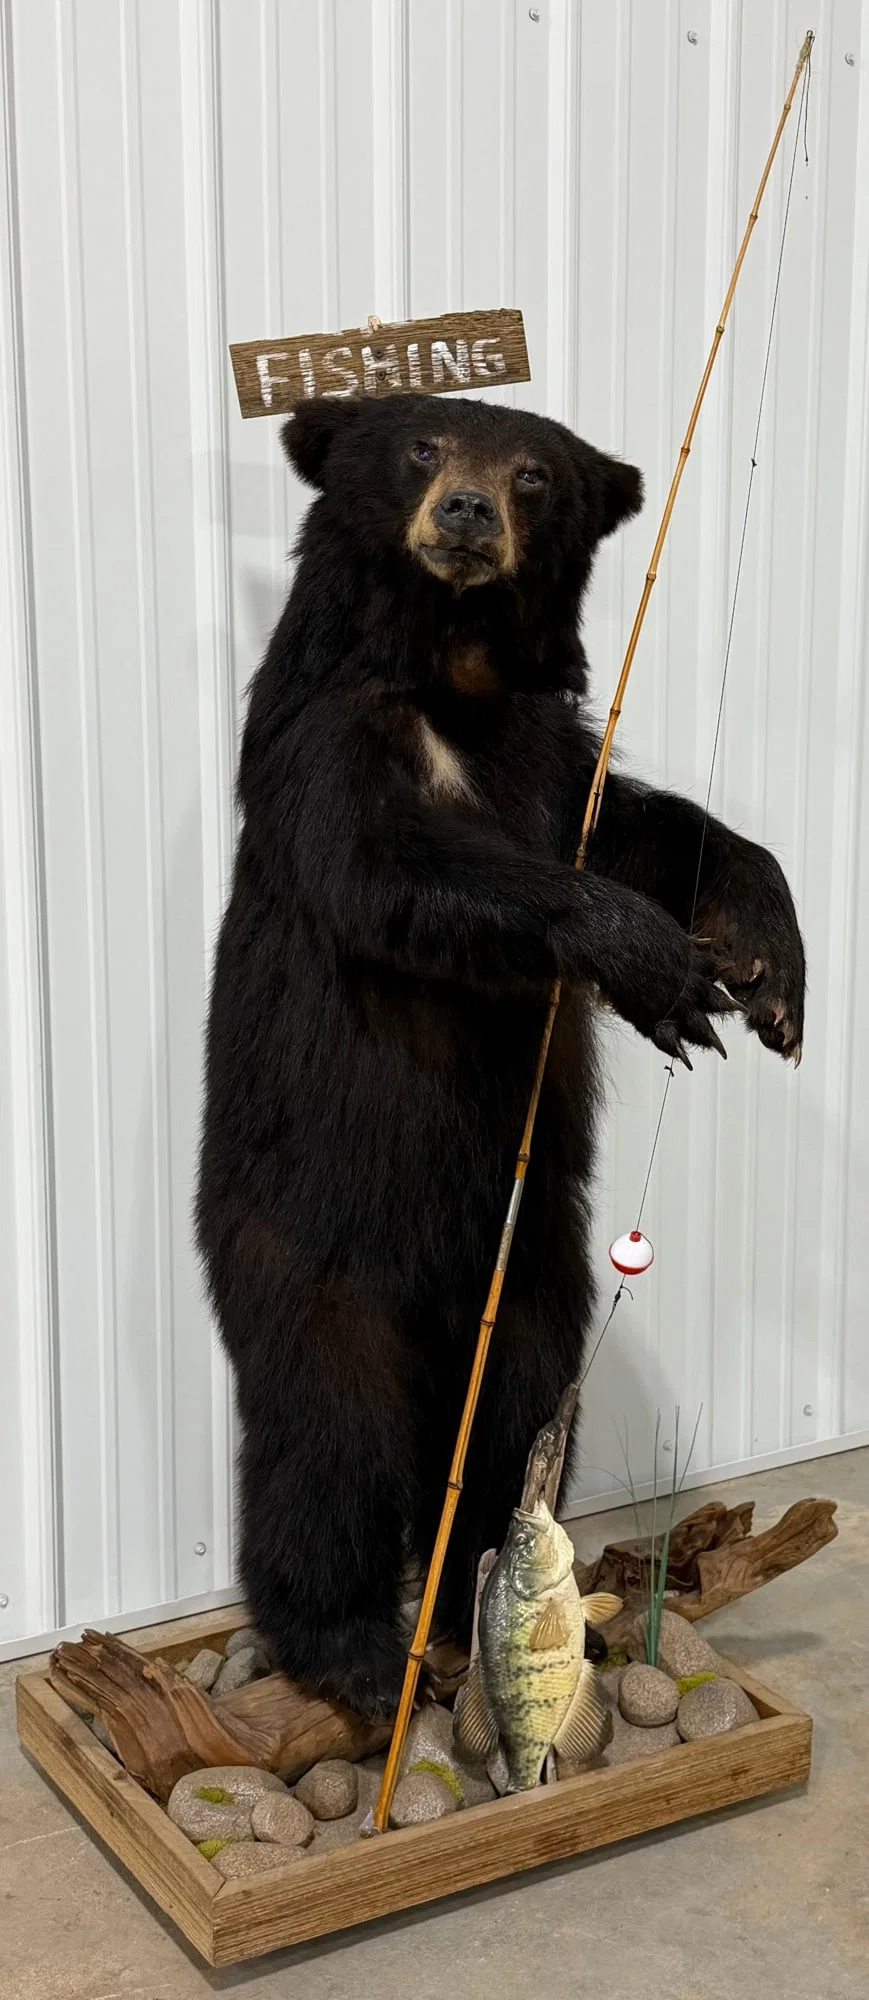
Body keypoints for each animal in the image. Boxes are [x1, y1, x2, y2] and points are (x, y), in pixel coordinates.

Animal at [196, 392, 805, 1720]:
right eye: (421, 444)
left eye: (533, 472)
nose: (468, 510)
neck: (454, 670)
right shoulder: (324, 740)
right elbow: (399, 869)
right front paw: (657, 965)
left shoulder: (552, 755)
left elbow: (642, 822)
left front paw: (764, 966)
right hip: (308, 1248)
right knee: (324, 1436)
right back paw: (355, 1650)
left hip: (530, 1270)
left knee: (519, 1412)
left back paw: (474, 1598)